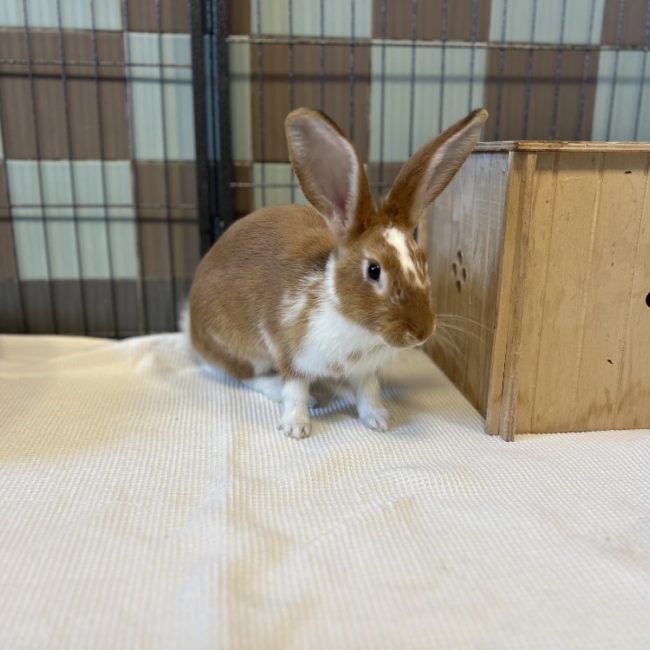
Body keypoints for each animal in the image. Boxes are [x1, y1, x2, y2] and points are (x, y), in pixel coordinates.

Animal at [186, 107, 488, 439]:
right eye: (373, 270)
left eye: (422, 260)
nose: (422, 332)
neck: (354, 325)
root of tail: (192, 332)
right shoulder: (290, 352)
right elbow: (295, 390)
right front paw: (296, 427)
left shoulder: (365, 370)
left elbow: (369, 391)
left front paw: (378, 420)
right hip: (239, 348)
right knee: (245, 375)